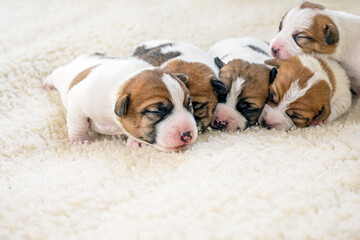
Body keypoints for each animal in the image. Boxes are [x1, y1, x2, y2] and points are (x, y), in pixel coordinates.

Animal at [44, 54, 200, 152]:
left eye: (189, 105)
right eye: (155, 111)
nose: (187, 133)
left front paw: (135, 141)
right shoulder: (77, 101)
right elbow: (78, 123)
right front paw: (80, 140)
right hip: (63, 75)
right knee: (57, 72)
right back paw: (48, 83)